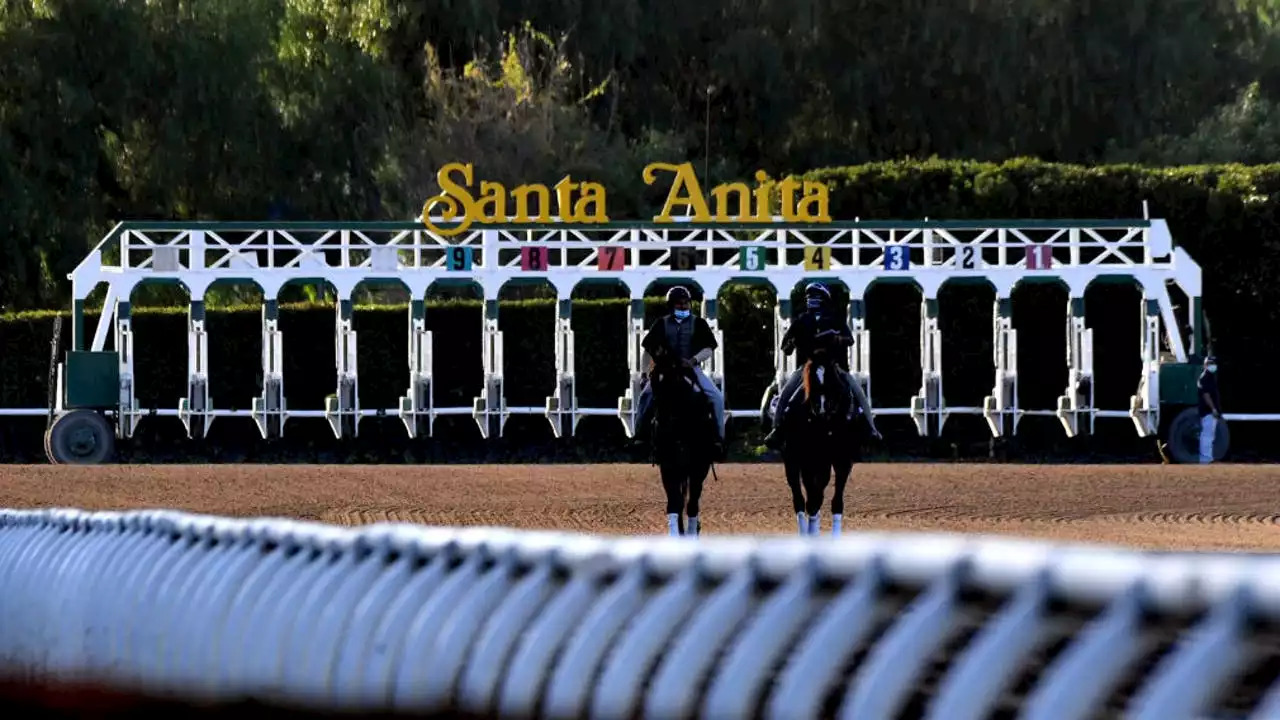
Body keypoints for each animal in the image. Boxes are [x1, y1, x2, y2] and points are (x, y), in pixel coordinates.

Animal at [650, 353, 721, 532]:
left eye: (672, 378)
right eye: (652, 377)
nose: (661, 421)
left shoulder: (699, 468)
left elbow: (692, 505)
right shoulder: (668, 467)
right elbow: (674, 504)